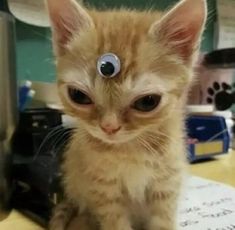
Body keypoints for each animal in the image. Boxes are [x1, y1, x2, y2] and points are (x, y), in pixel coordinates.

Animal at [46, 0, 207, 229]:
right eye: (78, 96)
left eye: (148, 102)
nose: (109, 127)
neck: (130, 150)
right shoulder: (104, 193)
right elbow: (115, 222)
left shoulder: (167, 185)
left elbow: (163, 221)